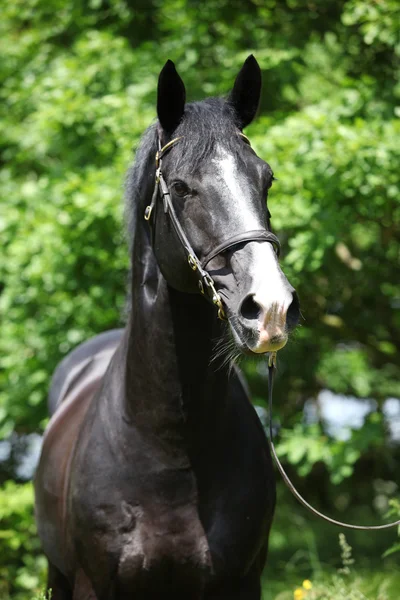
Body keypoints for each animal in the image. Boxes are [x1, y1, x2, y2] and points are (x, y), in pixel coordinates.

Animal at [35, 56, 300, 600]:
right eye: (180, 187)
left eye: (266, 179)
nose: (271, 309)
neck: (170, 450)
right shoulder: (92, 584)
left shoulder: (244, 582)